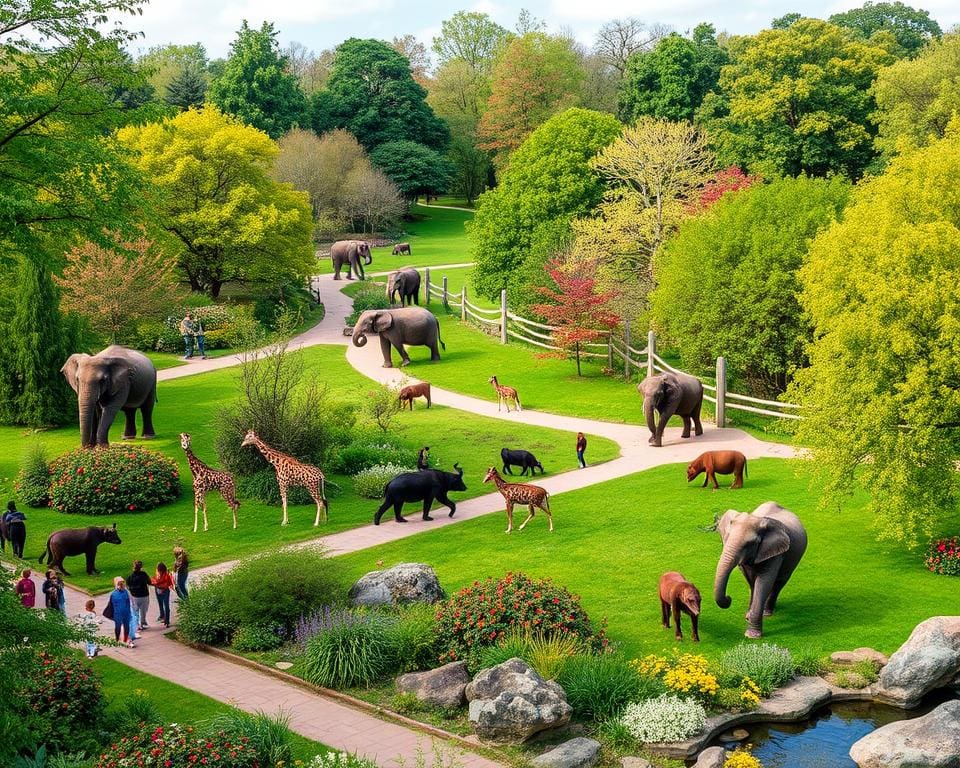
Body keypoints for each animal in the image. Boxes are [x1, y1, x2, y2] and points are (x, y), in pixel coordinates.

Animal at [716, 500, 808, 640]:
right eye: (727, 536)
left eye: (750, 544)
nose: (729, 598)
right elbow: (751, 580)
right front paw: (747, 617)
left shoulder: (775, 552)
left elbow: (764, 582)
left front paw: (752, 635)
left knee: (779, 583)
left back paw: (767, 613)